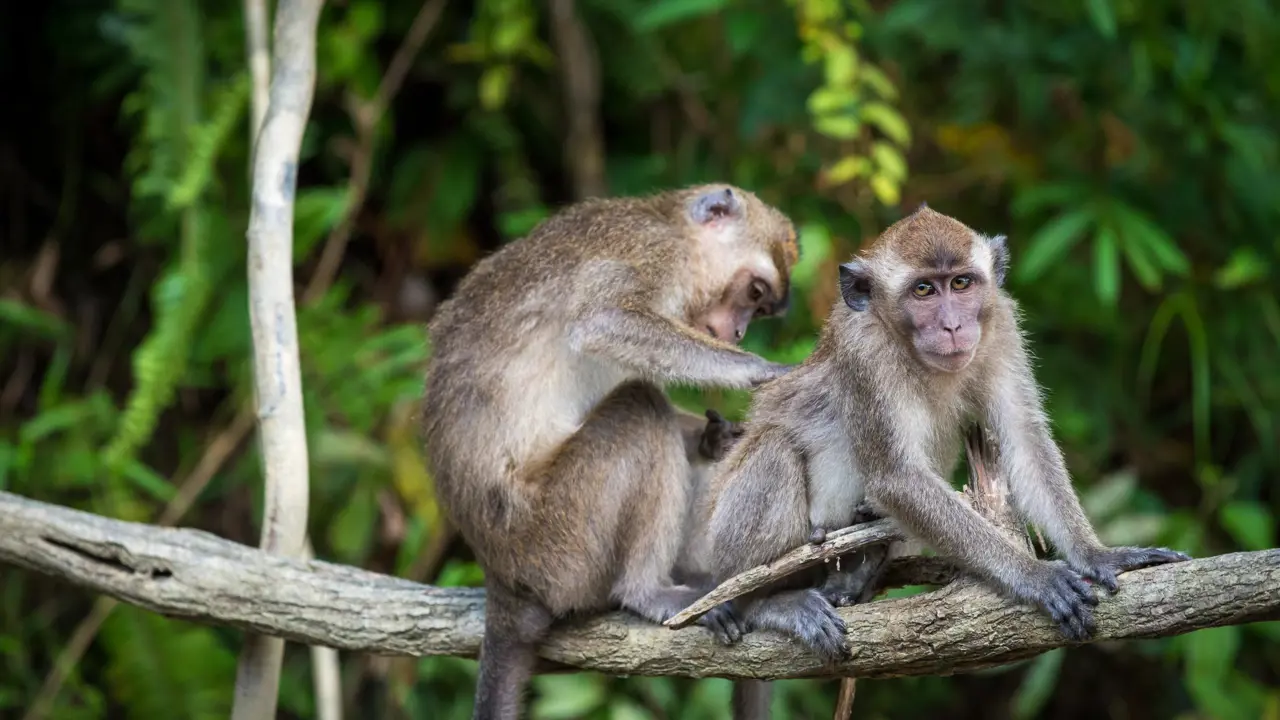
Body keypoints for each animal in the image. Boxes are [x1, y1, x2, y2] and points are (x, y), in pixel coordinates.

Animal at [421, 184, 801, 720]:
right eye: (755, 294)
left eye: (761, 310)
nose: (741, 333)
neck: (670, 225)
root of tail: (504, 581)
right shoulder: (651, 252)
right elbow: (604, 322)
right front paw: (762, 370)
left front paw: (716, 434)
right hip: (560, 546)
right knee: (639, 410)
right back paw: (647, 592)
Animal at [685, 204, 1191, 679]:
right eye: (924, 290)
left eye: (962, 283)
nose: (952, 326)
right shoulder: (864, 352)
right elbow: (897, 478)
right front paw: (1034, 575)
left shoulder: (1000, 325)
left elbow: (1025, 439)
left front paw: (1098, 556)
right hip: (719, 540)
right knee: (774, 450)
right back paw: (760, 603)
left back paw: (855, 576)